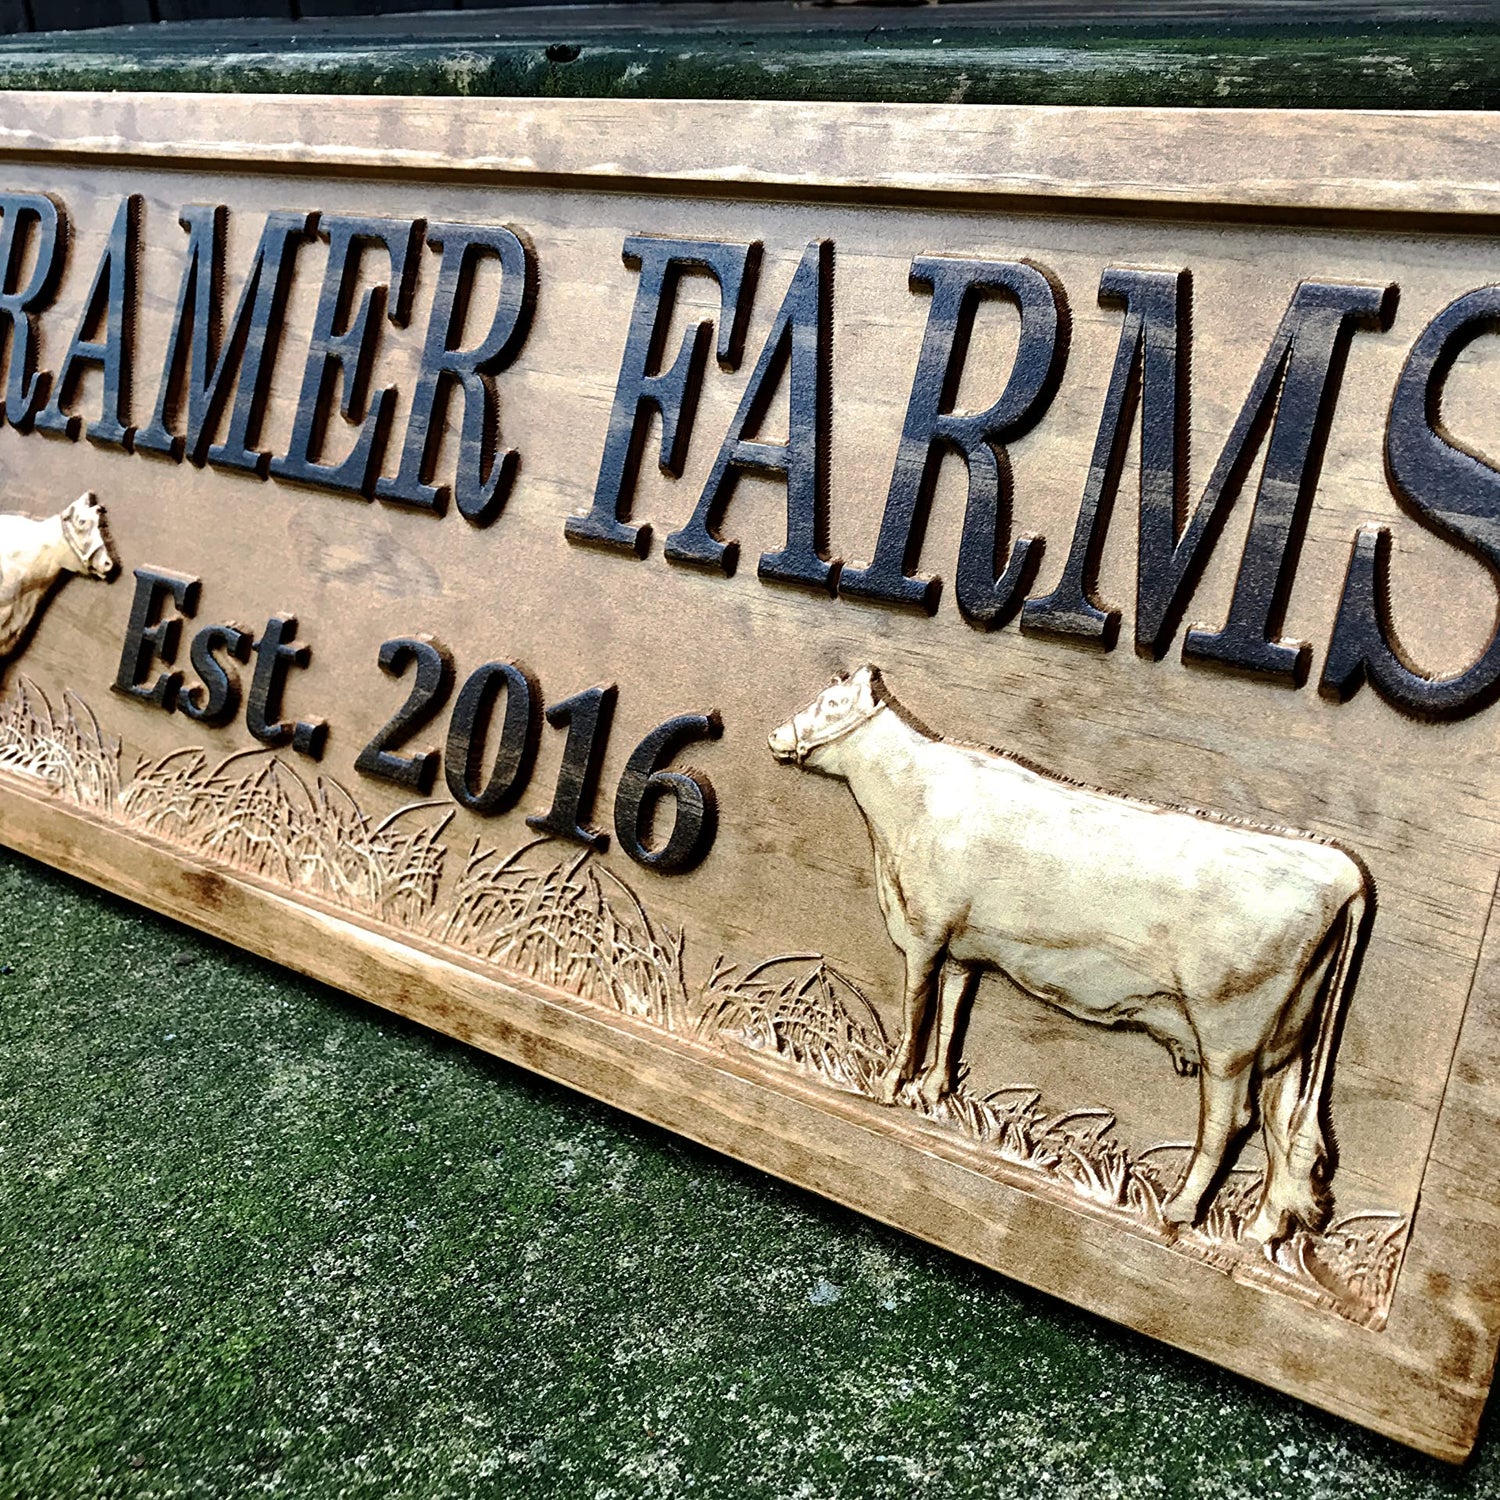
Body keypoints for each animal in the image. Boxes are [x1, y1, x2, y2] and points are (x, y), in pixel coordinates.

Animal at [767, 666, 1370, 1246]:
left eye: (832, 704)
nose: (776, 736)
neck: (905, 804)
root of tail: (1342, 870)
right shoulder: (963, 948)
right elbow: (952, 1013)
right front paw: (933, 1091)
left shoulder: (924, 933)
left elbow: (916, 1007)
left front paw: (890, 1086)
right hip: (1289, 1040)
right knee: (1282, 1124)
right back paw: (1259, 1231)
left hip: (1228, 1034)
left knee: (1231, 1119)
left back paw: (1178, 1211)